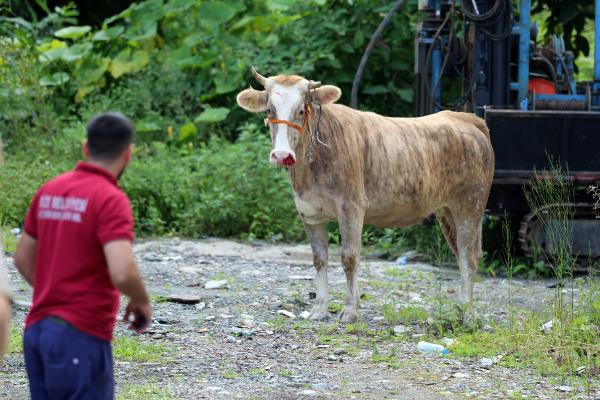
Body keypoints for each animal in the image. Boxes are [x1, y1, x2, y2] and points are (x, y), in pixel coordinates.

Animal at [234, 68, 492, 322]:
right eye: (270, 110)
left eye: (300, 110)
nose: (281, 155)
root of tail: (465, 118)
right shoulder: (308, 212)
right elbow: (319, 259)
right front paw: (320, 308)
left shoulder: (352, 206)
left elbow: (349, 257)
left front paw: (350, 310)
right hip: (446, 210)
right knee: (459, 253)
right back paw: (459, 309)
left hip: (471, 203)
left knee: (469, 256)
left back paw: (468, 315)